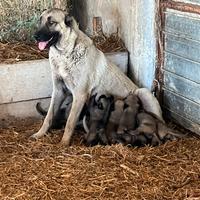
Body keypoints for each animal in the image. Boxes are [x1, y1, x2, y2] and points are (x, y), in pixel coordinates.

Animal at [30, 8, 162, 145]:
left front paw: (64, 143)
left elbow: (70, 122)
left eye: (51, 22)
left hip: (144, 92)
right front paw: (40, 133)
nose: (35, 36)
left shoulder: (80, 95)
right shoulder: (59, 91)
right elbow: (48, 116)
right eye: (40, 21)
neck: (65, 53)